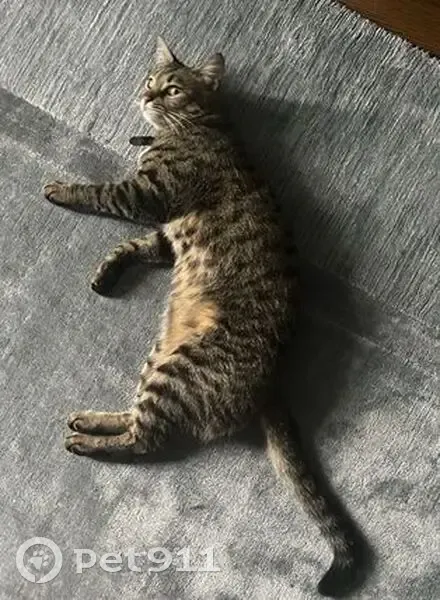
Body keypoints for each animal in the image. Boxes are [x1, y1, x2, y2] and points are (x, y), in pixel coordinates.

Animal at [42, 37, 362, 597]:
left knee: (144, 442)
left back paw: (83, 442)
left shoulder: (147, 196)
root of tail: (272, 383)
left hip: (178, 371)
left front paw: (62, 188)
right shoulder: (163, 234)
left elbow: (98, 192)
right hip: (160, 356)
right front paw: (107, 271)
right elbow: (132, 247)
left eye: (170, 88)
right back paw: (90, 419)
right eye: (149, 79)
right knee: (136, 419)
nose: (144, 93)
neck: (197, 128)